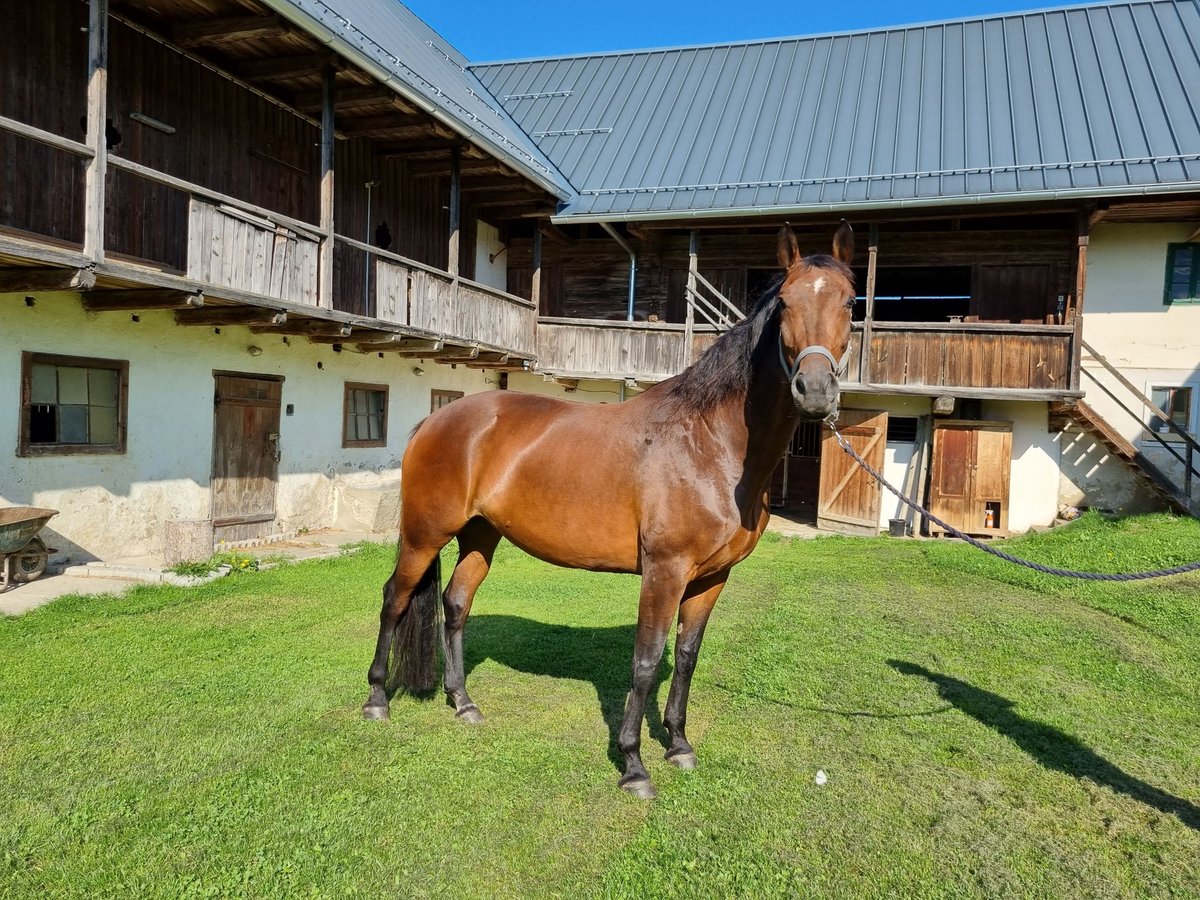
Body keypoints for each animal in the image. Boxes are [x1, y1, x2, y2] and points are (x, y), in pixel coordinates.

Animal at [360, 222, 859, 801]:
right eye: (784, 303)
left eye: (850, 300)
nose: (815, 391)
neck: (710, 443)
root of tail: (436, 420)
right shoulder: (664, 572)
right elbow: (645, 660)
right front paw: (634, 765)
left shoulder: (712, 578)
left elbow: (685, 657)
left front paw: (678, 744)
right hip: (425, 534)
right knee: (394, 599)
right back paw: (377, 699)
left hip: (481, 536)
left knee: (456, 604)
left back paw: (463, 703)